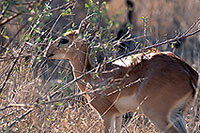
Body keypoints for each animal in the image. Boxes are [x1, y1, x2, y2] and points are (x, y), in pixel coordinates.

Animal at [47, 29, 198, 133]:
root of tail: (189, 72)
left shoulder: (106, 114)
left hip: (157, 115)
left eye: (64, 40)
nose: (47, 52)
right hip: (177, 114)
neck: (90, 76)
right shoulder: (118, 115)